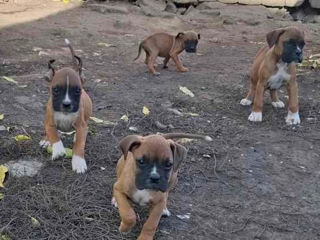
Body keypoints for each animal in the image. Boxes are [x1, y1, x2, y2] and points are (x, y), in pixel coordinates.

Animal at [39, 39, 92, 174]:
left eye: (78, 90)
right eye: (56, 90)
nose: (67, 104)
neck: (65, 113)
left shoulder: (81, 125)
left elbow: (79, 144)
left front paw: (78, 162)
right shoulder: (50, 123)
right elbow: (53, 134)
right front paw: (58, 150)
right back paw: (46, 140)